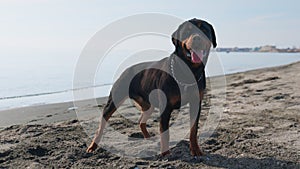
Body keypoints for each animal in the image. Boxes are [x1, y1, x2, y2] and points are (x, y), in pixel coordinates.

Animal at [85, 17, 217, 156]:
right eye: (187, 31)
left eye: (204, 30)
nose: (197, 38)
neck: (188, 71)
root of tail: (125, 70)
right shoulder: (165, 107)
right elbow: (165, 132)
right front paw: (166, 153)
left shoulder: (196, 103)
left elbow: (193, 130)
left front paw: (195, 149)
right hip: (115, 97)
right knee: (102, 122)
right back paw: (93, 146)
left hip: (148, 104)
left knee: (141, 121)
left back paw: (148, 137)